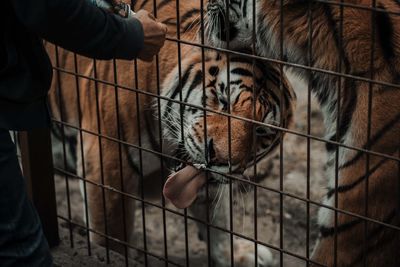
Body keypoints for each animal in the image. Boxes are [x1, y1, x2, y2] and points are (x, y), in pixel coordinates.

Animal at [47, 0, 296, 266]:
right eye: (223, 100)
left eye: (261, 131)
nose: (216, 156)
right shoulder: (107, 163)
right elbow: (113, 237)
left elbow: (217, 218)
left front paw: (237, 255)